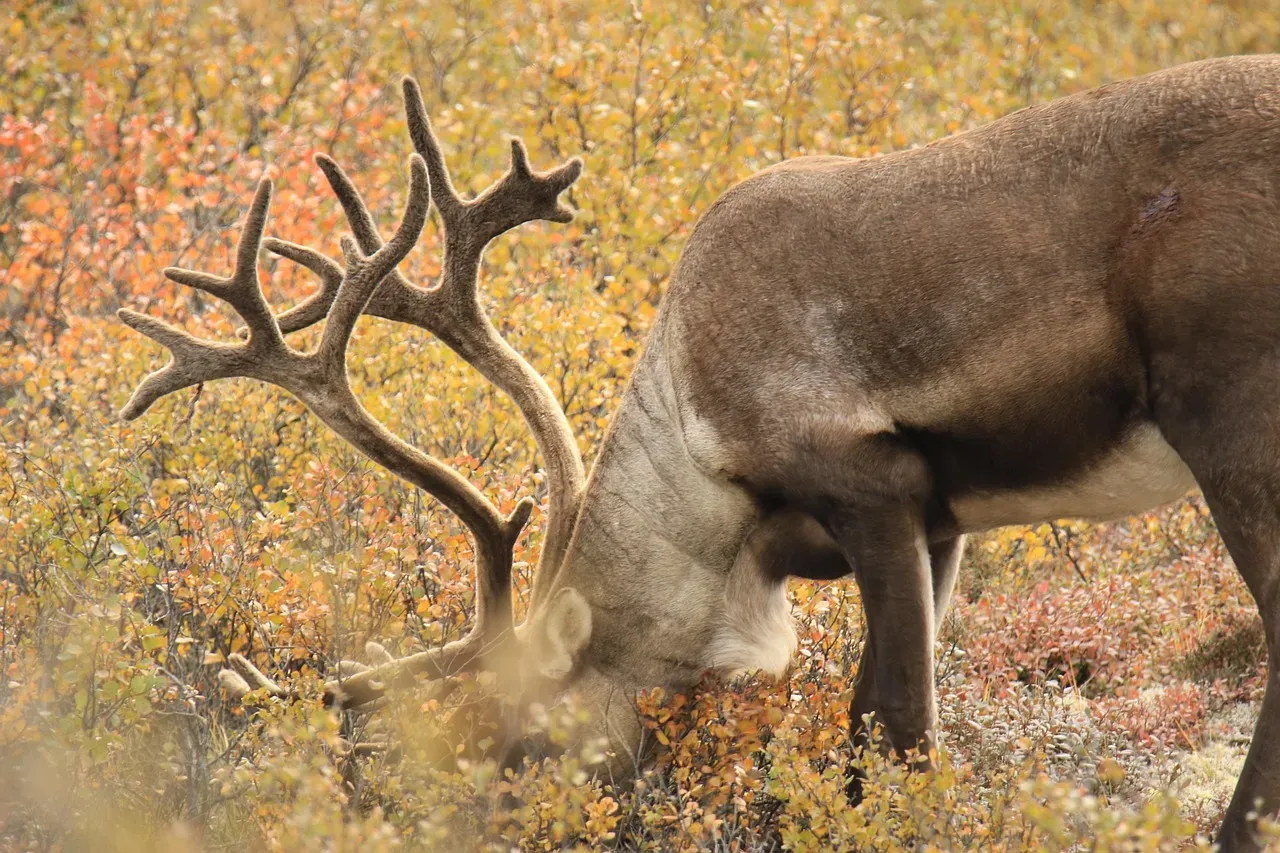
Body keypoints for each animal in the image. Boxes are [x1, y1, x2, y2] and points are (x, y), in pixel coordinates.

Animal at [118, 54, 1280, 850]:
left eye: (526, 737)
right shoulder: (942, 520)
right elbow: (867, 715)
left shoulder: (874, 486)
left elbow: (896, 722)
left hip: (1229, 420)